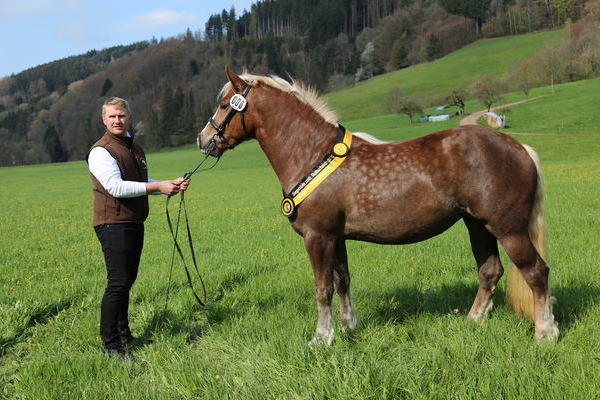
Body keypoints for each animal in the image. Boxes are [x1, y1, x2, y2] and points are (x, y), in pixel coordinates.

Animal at [197, 67, 556, 346]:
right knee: (490, 271)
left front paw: (321, 338)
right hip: (477, 225)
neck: (313, 154)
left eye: (224, 104)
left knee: (536, 272)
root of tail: (518, 147)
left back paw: (544, 332)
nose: (203, 140)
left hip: (508, 229)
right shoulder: (336, 237)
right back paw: (473, 321)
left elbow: (323, 288)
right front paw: (349, 327)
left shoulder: (318, 237)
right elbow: (343, 280)